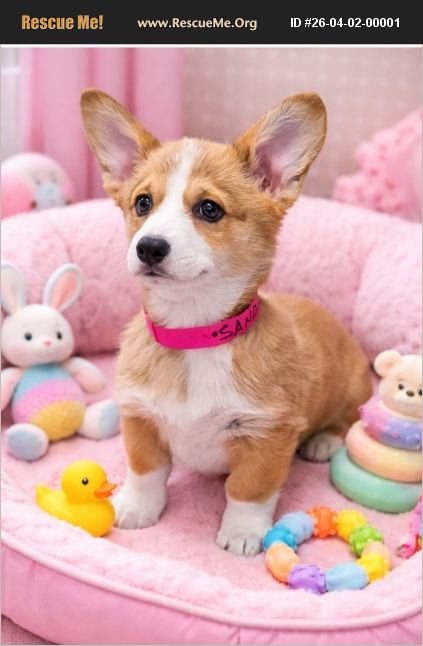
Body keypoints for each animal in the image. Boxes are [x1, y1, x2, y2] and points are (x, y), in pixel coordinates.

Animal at [81, 89, 371, 556]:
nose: (149, 247)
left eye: (209, 209)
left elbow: (248, 489)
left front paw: (241, 533)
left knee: (346, 419)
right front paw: (136, 508)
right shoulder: (140, 419)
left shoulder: (267, 434)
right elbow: (145, 471)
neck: (194, 336)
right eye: (143, 203)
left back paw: (324, 440)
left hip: (351, 389)